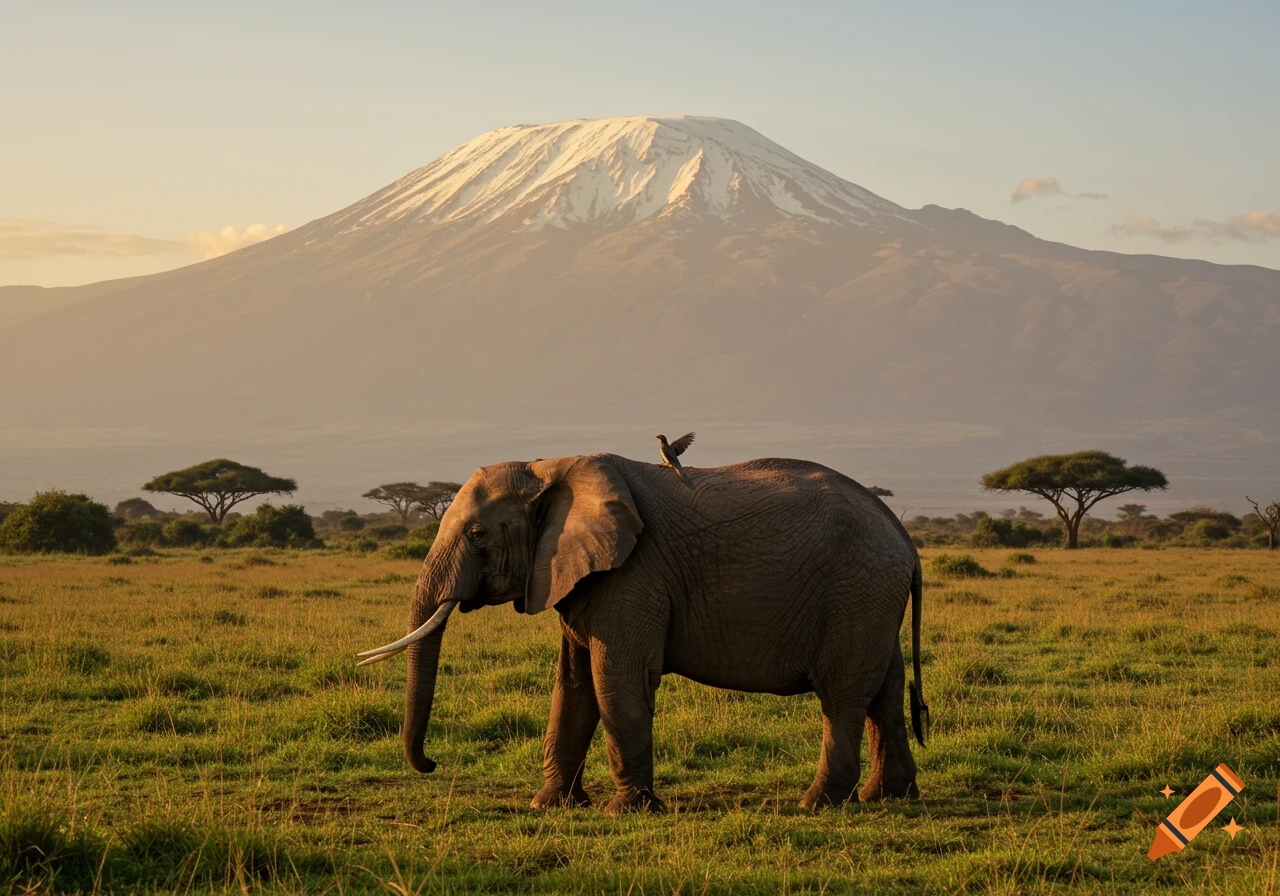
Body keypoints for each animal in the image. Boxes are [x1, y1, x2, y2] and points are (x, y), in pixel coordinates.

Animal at [358, 452, 928, 813]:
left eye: (477, 534)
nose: (431, 764)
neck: (547, 468)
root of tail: (903, 537)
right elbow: (573, 685)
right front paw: (549, 807)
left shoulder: (633, 573)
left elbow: (617, 677)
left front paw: (625, 811)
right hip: (874, 598)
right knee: (885, 690)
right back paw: (887, 797)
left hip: (858, 590)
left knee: (843, 695)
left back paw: (816, 804)